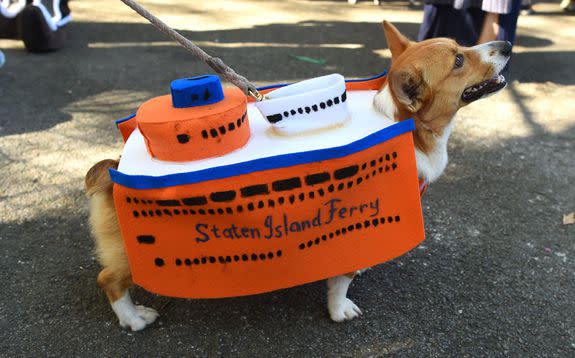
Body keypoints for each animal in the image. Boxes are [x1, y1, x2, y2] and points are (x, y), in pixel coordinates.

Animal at [84, 21, 508, 328]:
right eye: (457, 61)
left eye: (462, 46)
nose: (505, 44)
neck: (411, 129)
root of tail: (115, 166)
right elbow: (340, 282)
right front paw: (340, 311)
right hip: (133, 255)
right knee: (108, 280)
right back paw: (134, 318)